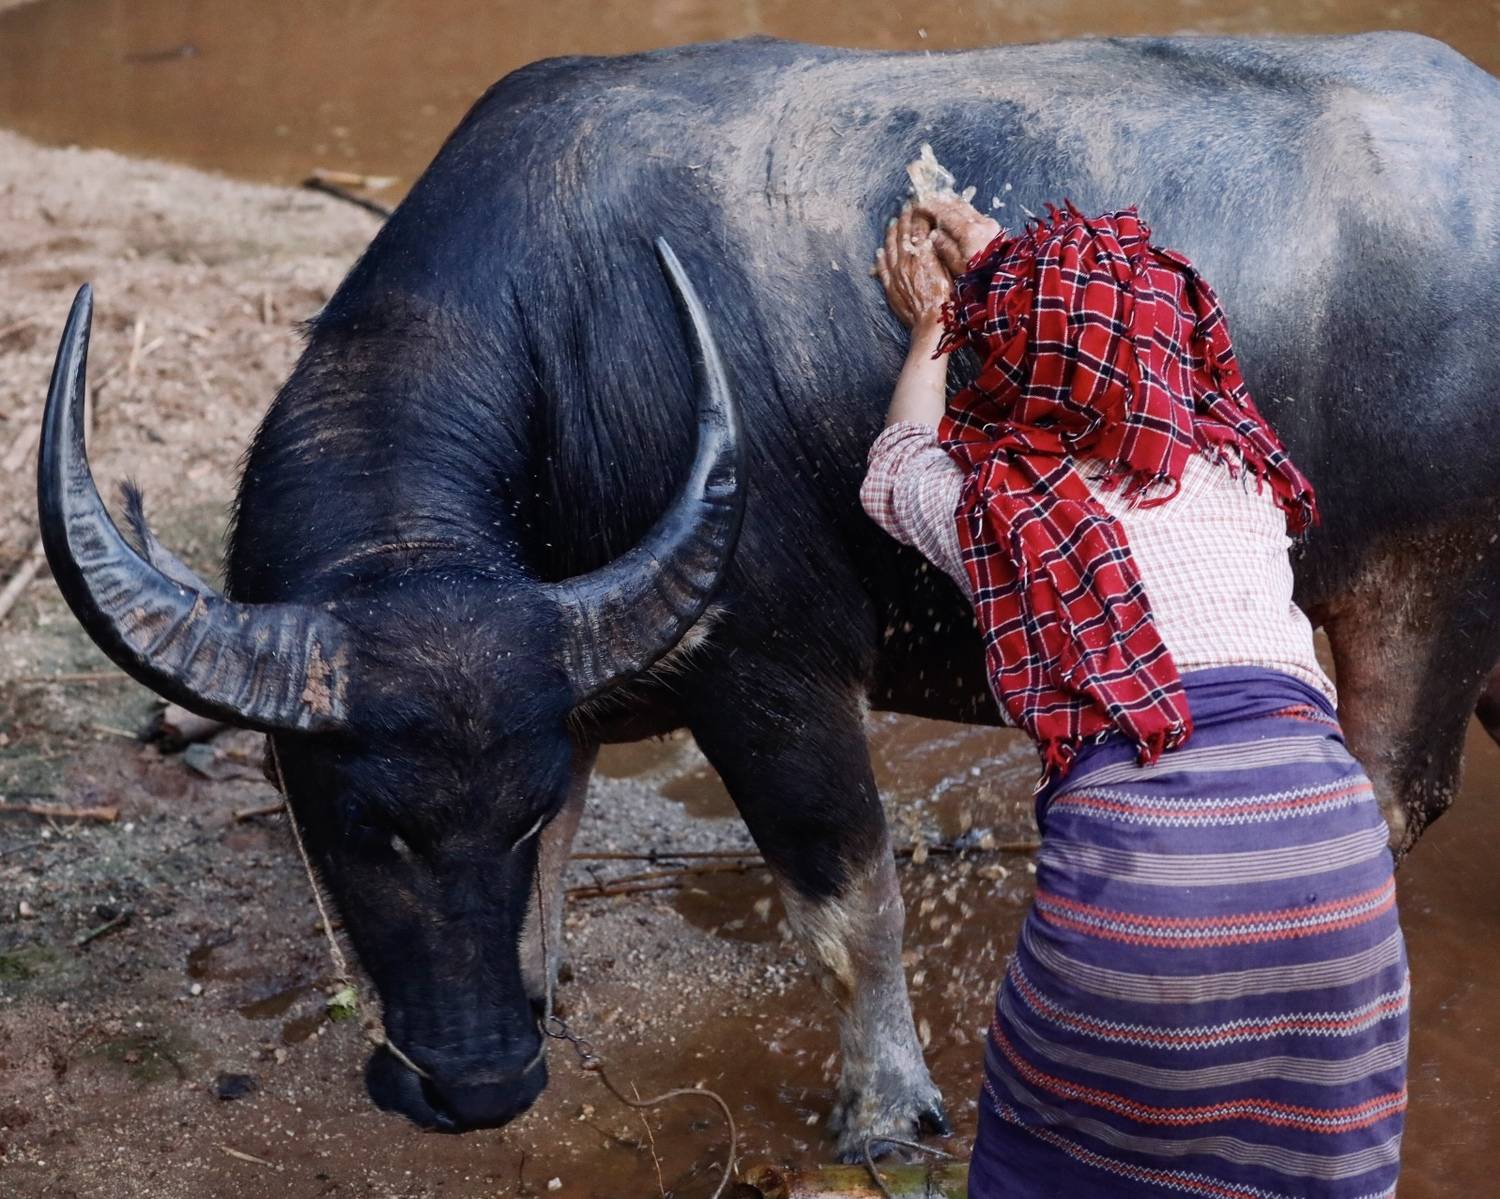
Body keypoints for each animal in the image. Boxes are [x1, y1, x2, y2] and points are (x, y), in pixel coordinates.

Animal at [37, 33, 1500, 1157]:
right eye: (354, 821)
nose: (478, 1081)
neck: (568, 345)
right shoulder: (569, 677)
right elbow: (569, 855)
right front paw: (538, 982)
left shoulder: (768, 671)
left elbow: (846, 897)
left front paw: (887, 1105)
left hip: (1426, 594)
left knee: (1388, 796)